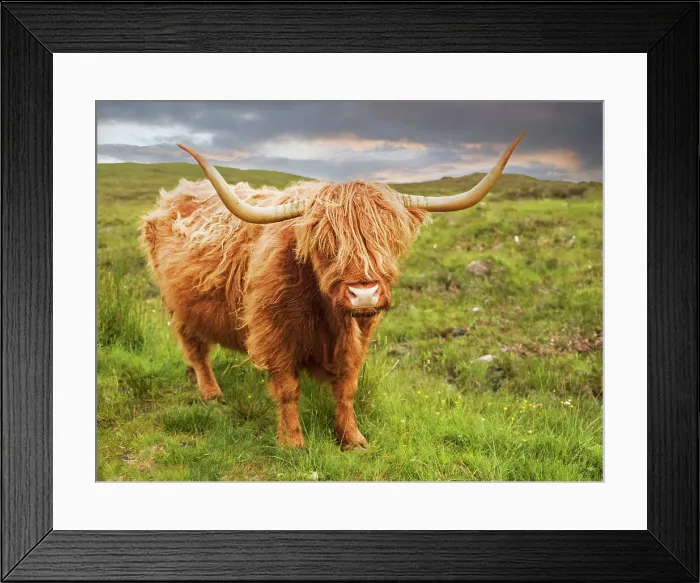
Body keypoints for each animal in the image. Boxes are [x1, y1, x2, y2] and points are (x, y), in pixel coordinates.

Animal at [140, 132, 524, 450]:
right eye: (326, 243)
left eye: (387, 239)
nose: (364, 293)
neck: (327, 316)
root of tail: (171, 197)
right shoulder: (274, 333)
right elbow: (287, 389)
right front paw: (293, 443)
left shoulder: (359, 334)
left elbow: (347, 387)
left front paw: (352, 438)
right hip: (178, 305)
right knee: (196, 349)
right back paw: (210, 393)